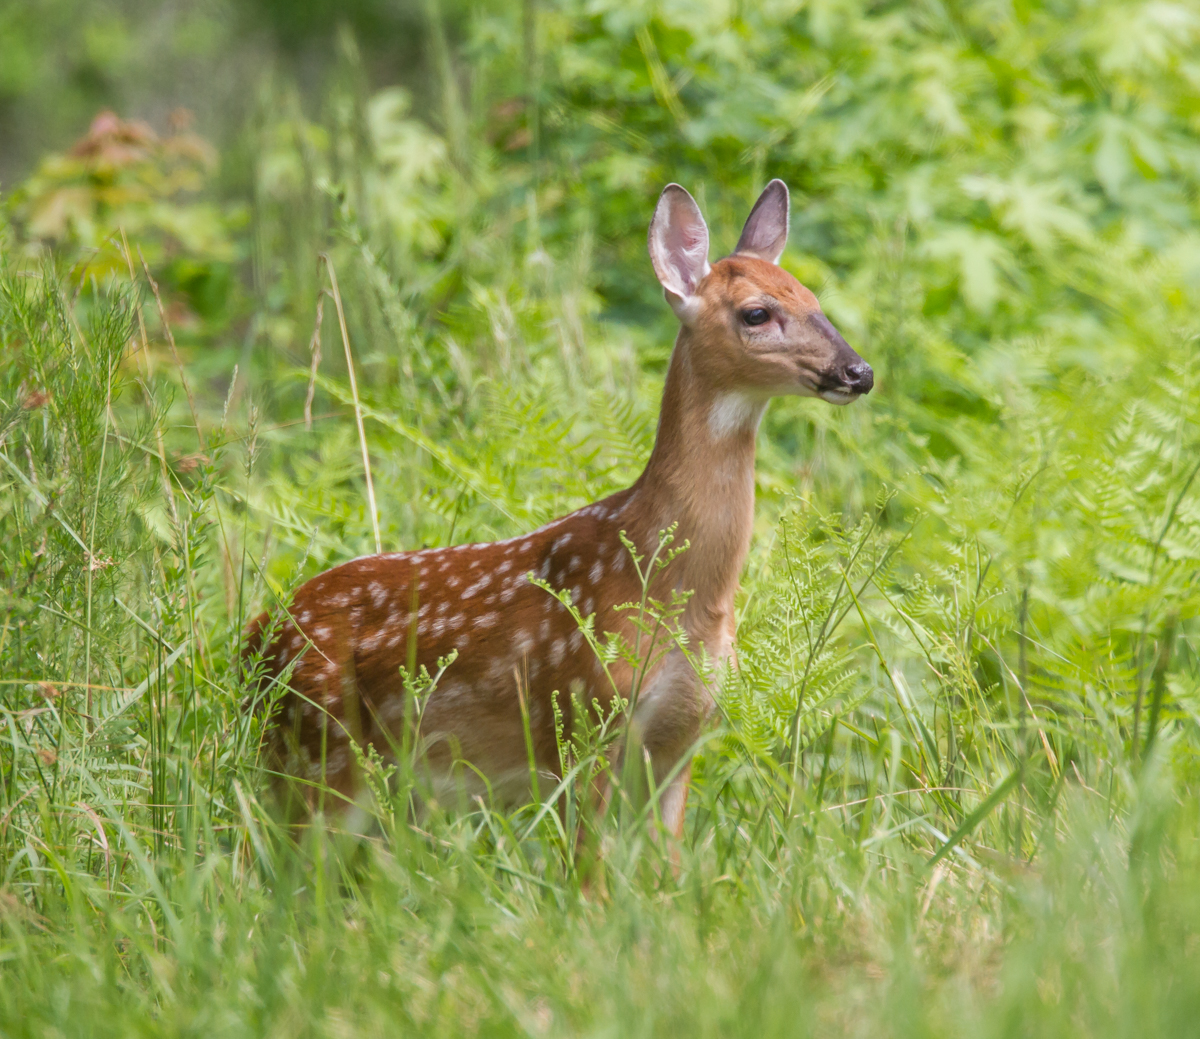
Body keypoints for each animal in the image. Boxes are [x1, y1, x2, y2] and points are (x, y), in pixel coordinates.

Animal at [245, 179, 873, 840]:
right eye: (756, 312)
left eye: (814, 300)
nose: (859, 372)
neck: (677, 590)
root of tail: (253, 640)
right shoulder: (580, 717)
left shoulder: (681, 737)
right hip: (317, 753)